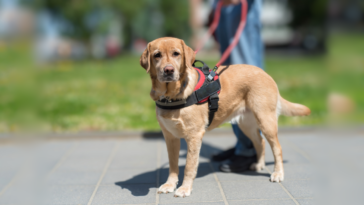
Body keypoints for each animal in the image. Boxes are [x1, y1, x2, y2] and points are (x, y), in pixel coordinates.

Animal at [139, 36, 310, 197]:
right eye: (157, 55)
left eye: (176, 54)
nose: (168, 70)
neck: (171, 96)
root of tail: (265, 73)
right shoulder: (170, 137)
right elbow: (173, 165)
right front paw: (170, 184)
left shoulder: (194, 136)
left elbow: (189, 166)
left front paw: (185, 188)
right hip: (246, 124)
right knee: (259, 141)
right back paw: (259, 164)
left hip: (266, 120)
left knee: (277, 148)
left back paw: (278, 173)